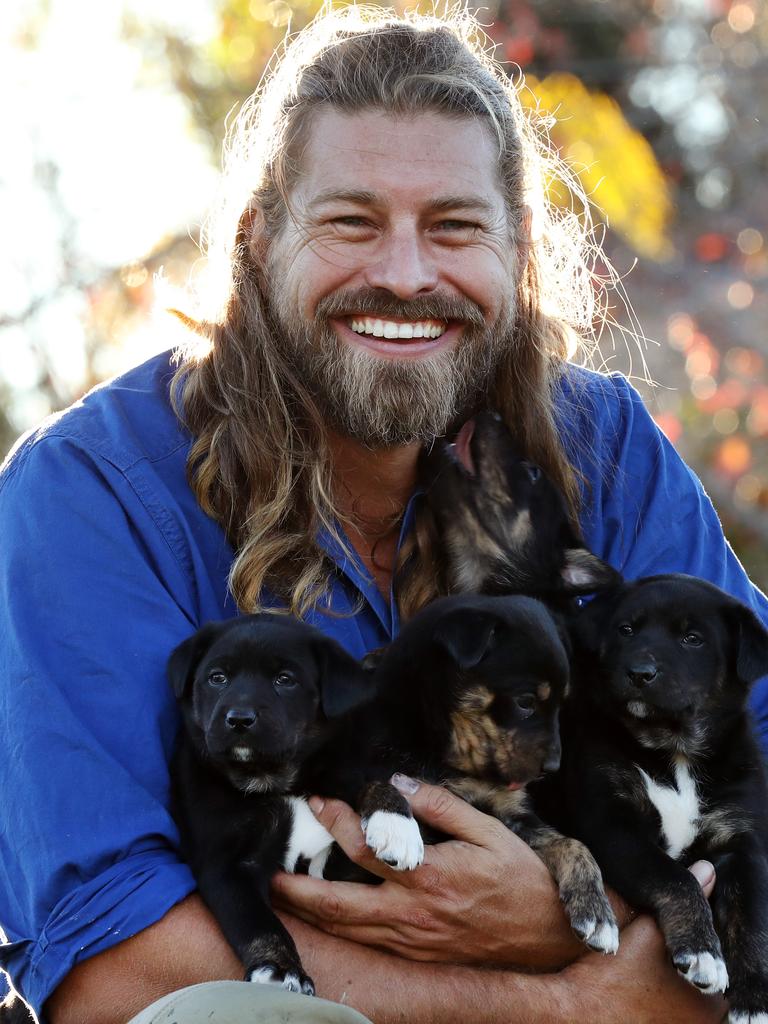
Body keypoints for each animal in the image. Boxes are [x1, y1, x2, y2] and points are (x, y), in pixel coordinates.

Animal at [168, 610, 372, 995]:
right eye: (217, 678)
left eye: (285, 680)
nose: (239, 719)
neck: (268, 779)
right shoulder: (225, 864)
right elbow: (258, 923)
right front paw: (280, 968)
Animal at [548, 573, 768, 1019]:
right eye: (626, 630)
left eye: (692, 639)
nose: (639, 672)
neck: (674, 749)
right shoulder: (612, 824)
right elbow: (676, 878)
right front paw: (703, 955)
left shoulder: (740, 841)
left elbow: (750, 918)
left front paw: (753, 1002)